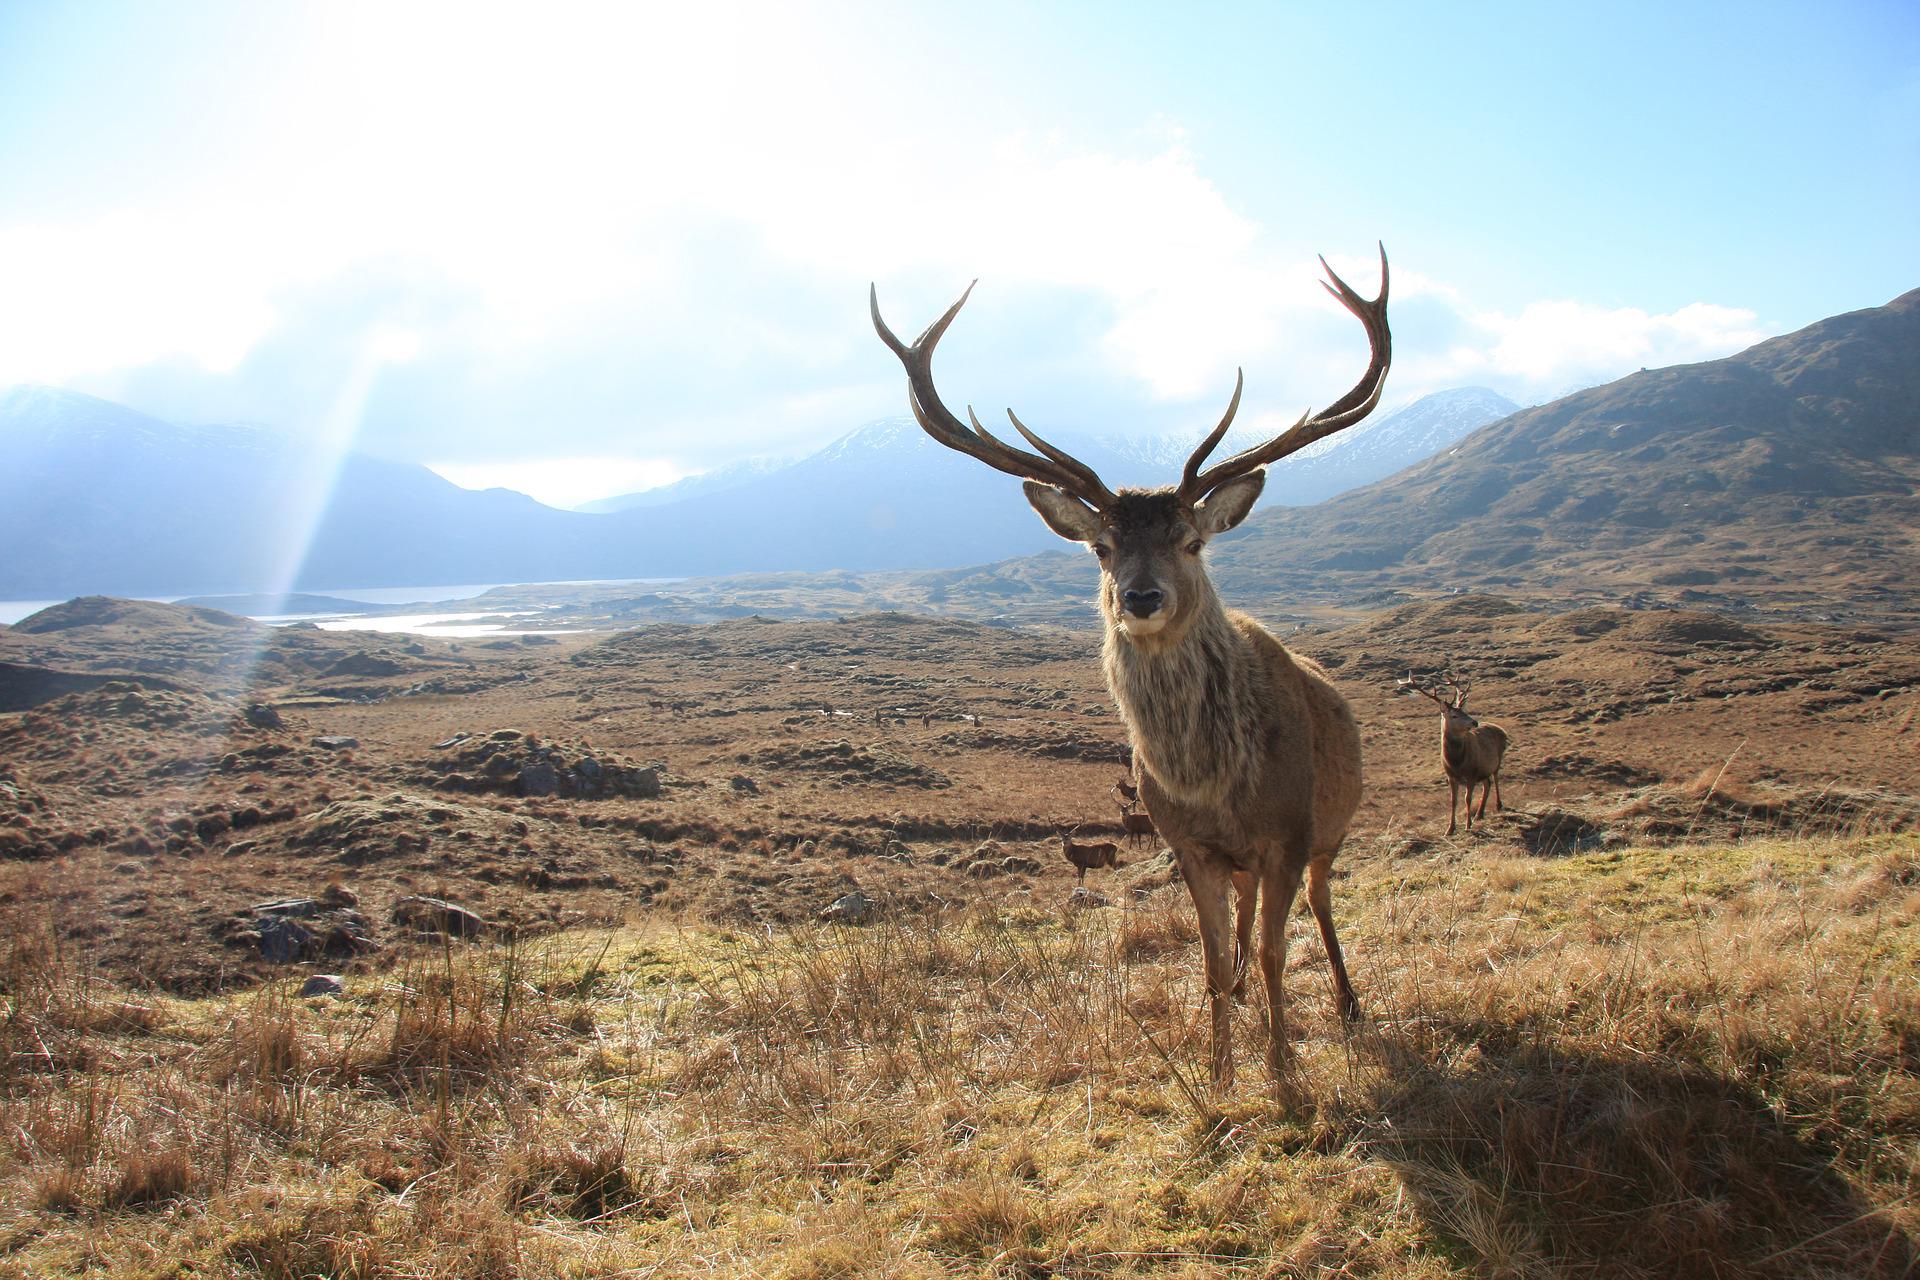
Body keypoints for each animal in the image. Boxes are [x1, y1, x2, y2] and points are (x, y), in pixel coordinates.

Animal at [879, 245, 1390, 1090]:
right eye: (1101, 545)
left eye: (1191, 538)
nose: (1141, 597)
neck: (1214, 784)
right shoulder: (1187, 844)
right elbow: (1212, 961)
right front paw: (1219, 1071)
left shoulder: (1288, 831)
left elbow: (1281, 953)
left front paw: (1285, 1071)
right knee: (1246, 922)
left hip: (1332, 830)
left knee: (1320, 906)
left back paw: (1348, 1005)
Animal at [1397, 671, 1512, 840]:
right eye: (1454, 716)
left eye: (1464, 711)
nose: (1475, 722)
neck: (1457, 763)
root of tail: (1502, 730)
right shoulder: (1451, 776)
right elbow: (1453, 801)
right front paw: (1450, 829)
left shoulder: (1471, 774)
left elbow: (1467, 799)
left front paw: (1468, 825)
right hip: (1483, 770)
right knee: (1488, 783)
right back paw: (1480, 814)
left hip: (1497, 759)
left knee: (1496, 778)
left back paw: (1498, 805)